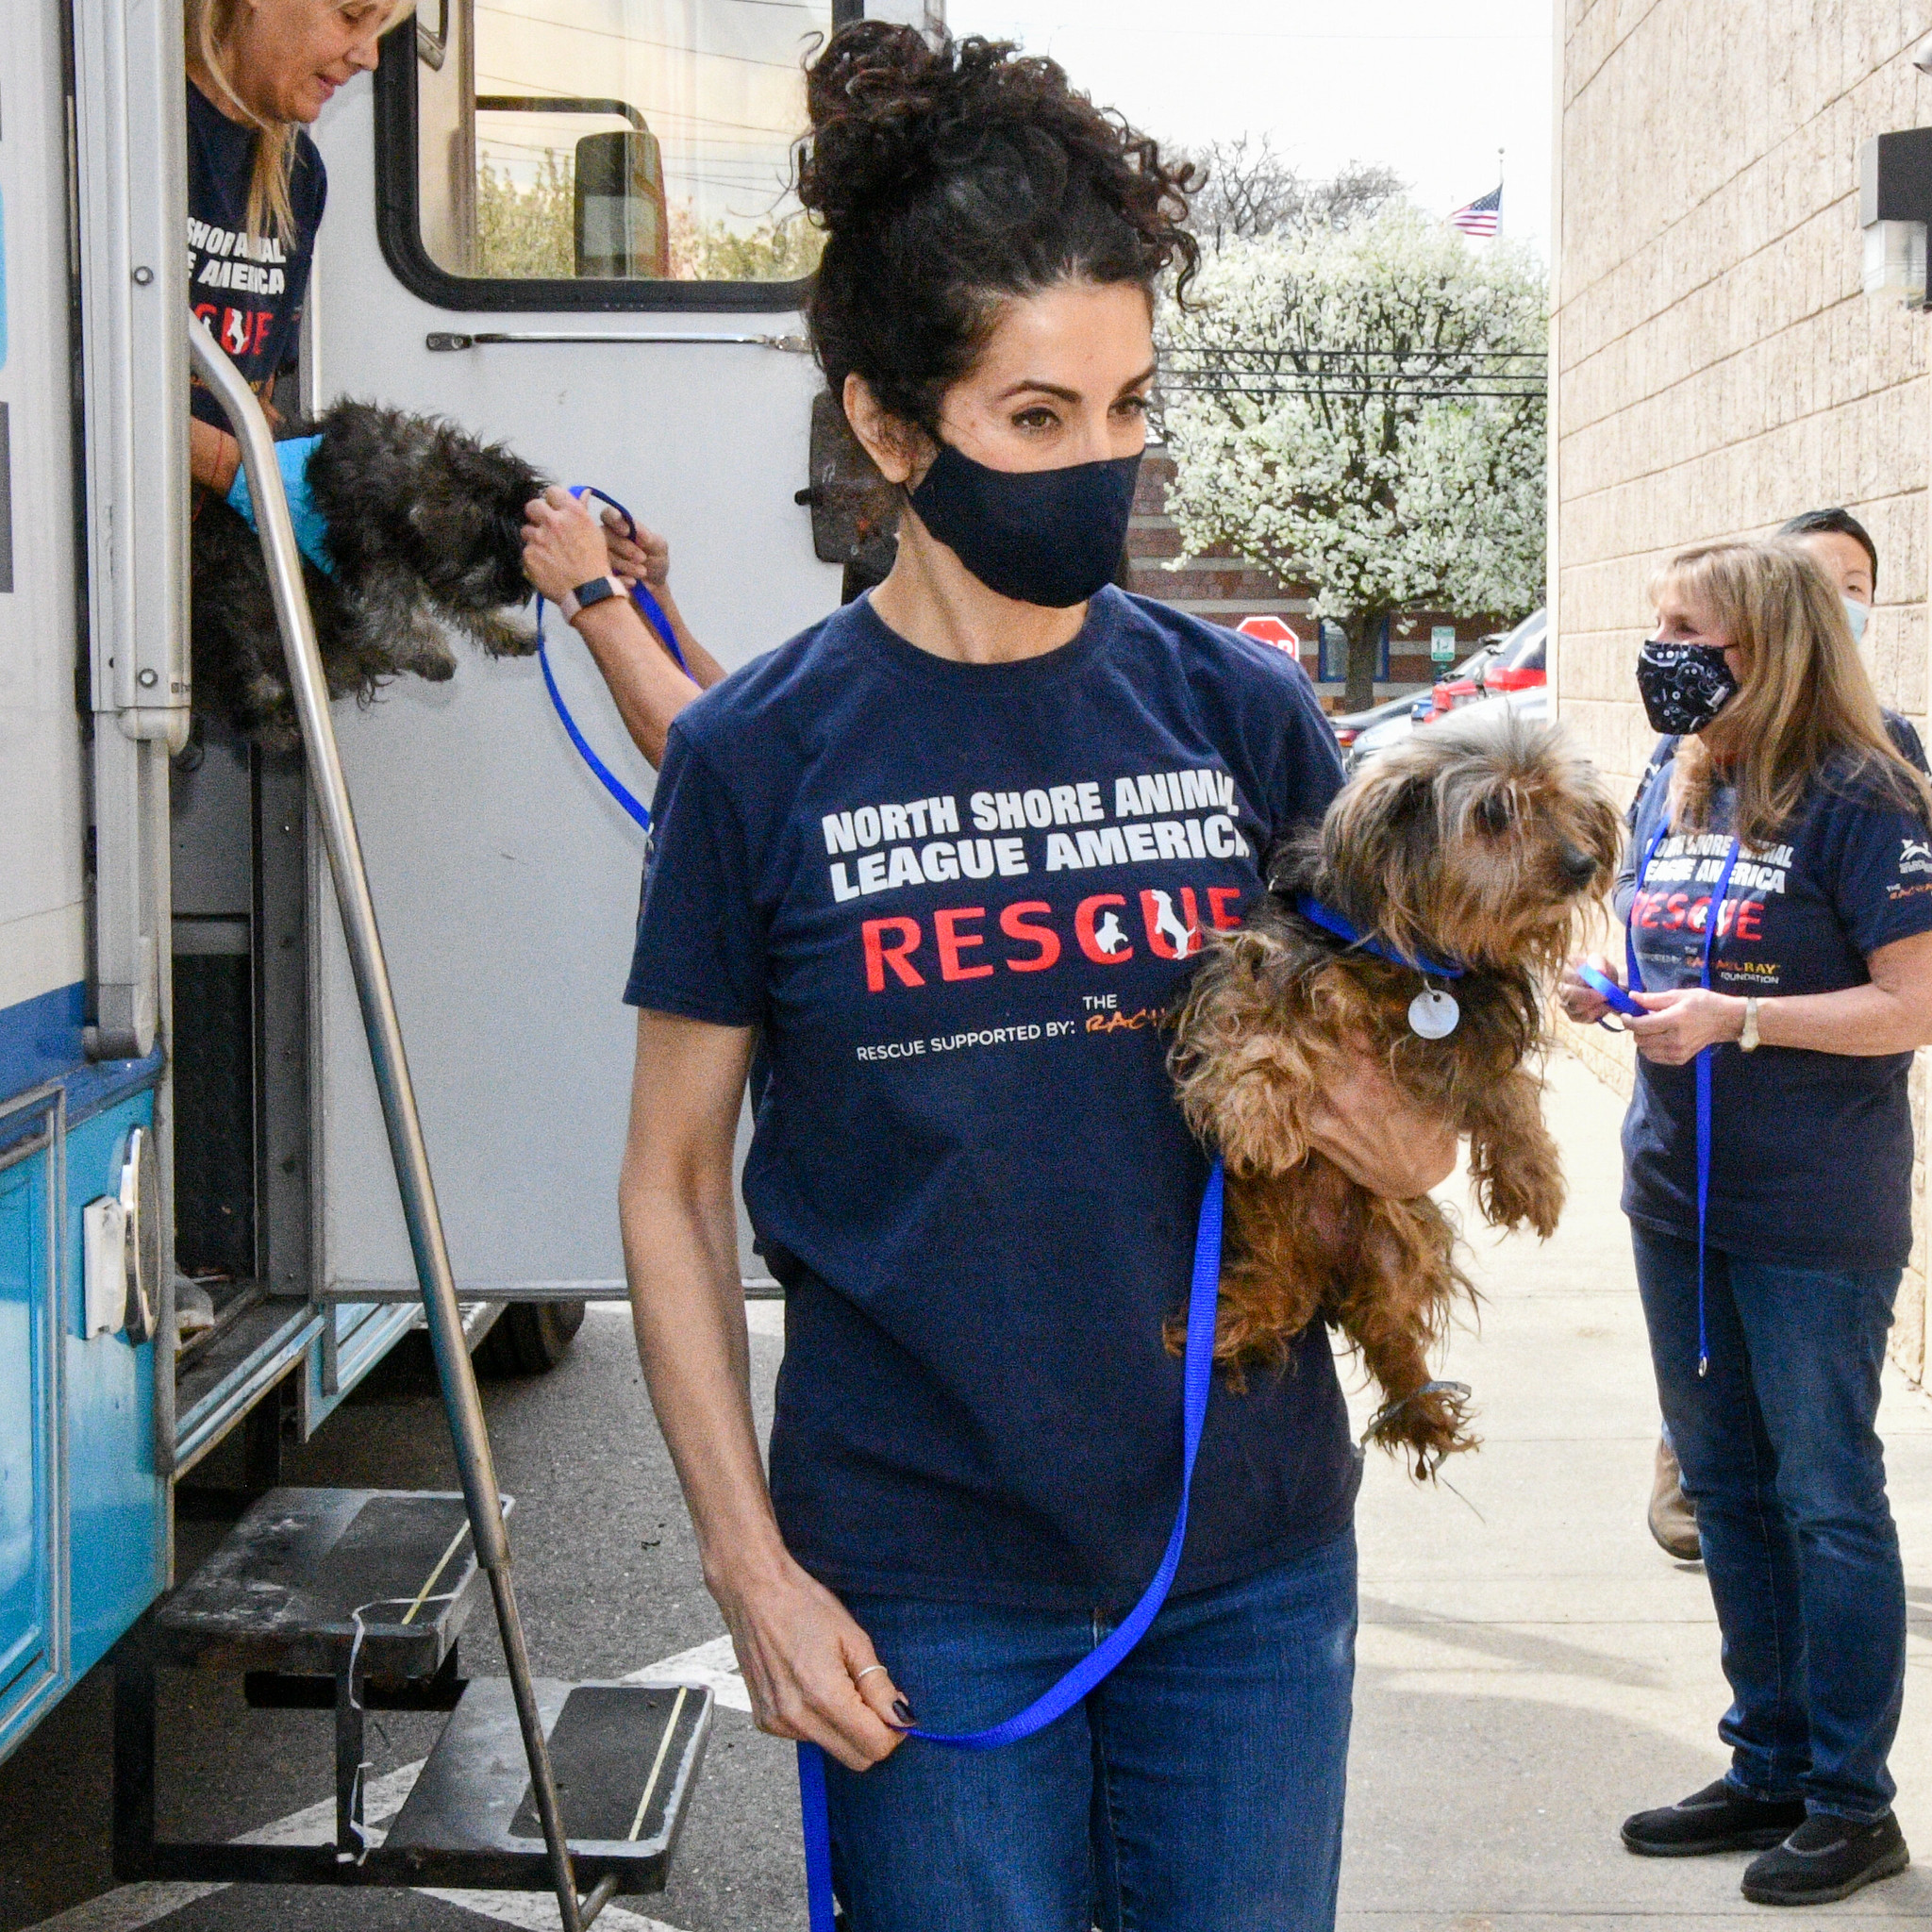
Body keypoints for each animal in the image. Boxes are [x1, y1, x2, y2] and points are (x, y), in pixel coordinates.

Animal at [190, 399, 544, 745]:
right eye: (502, 552)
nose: (516, 592)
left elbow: (459, 604)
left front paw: (509, 631)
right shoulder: (368, 546)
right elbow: (397, 602)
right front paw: (429, 650)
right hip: (238, 633)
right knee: (256, 693)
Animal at [1166, 718, 1623, 1468]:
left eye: (1562, 803)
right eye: (1494, 813)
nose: (1584, 864)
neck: (1414, 960)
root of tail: (1325, 1270)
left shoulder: (1479, 1032)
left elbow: (1508, 1091)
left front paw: (1531, 1176)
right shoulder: (1268, 964)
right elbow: (1259, 1034)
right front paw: (1259, 1111)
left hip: (1396, 1237)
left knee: (1385, 1325)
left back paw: (1420, 1406)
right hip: (1258, 1223)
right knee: (1280, 1294)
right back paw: (1231, 1323)